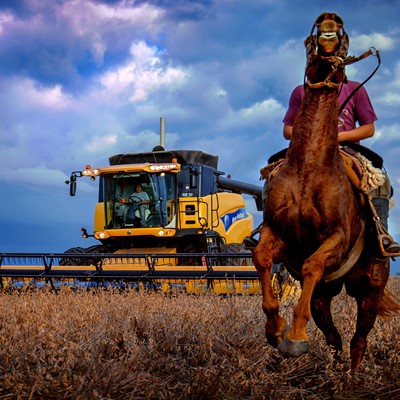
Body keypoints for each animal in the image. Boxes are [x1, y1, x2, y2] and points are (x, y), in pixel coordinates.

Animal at [253, 13, 396, 372]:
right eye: (315, 33)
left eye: (343, 38)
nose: (329, 22)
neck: (309, 169)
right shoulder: (278, 233)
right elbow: (261, 257)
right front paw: (276, 331)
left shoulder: (337, 239)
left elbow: (312, 264)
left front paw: (294, 338)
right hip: (324, 296)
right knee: (334, 339)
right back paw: (335, 370)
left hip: (369, 290)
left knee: (359, 339)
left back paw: (351, 376)